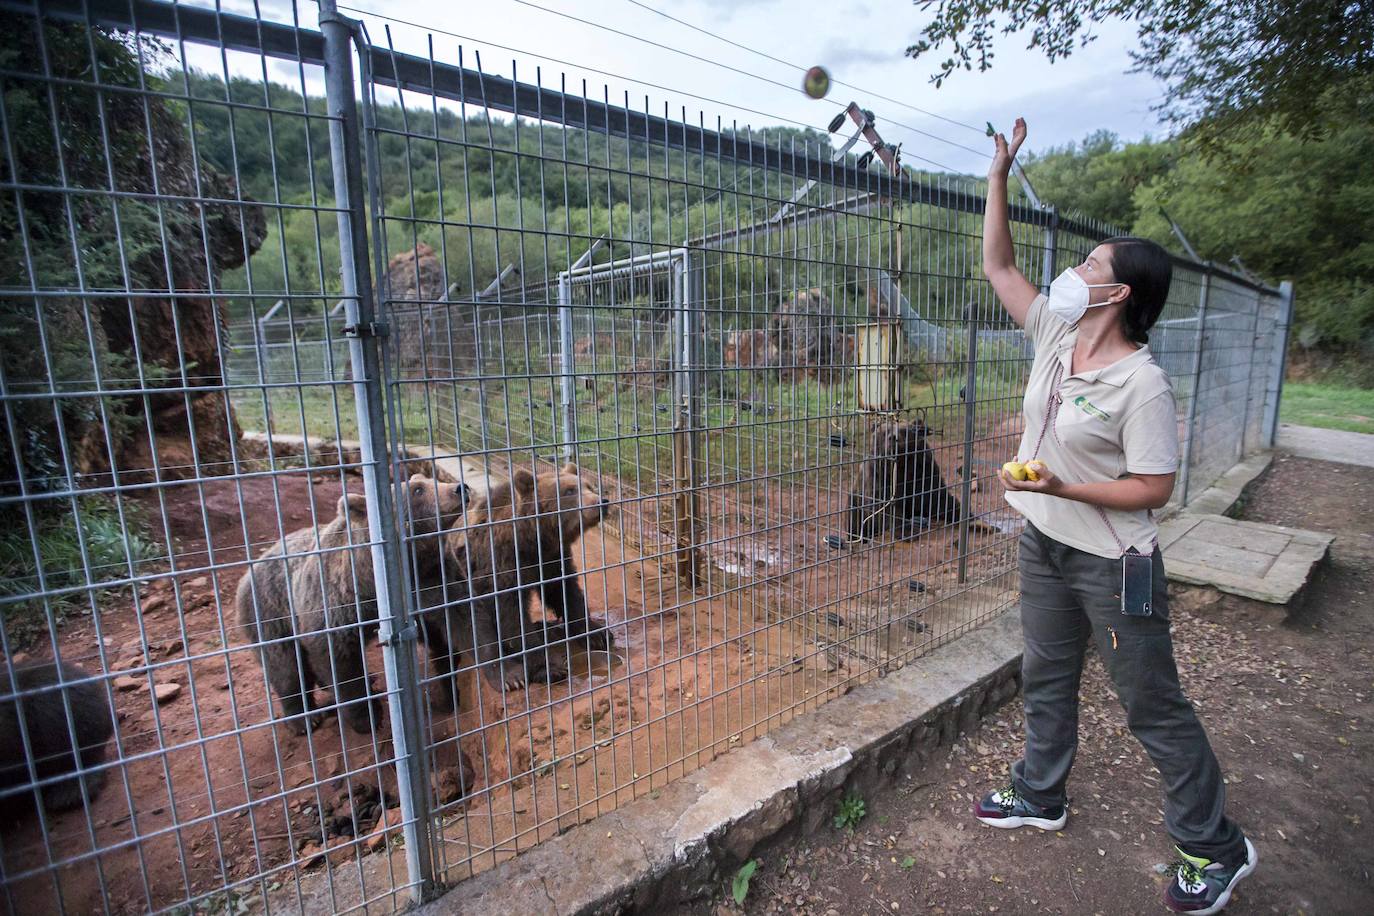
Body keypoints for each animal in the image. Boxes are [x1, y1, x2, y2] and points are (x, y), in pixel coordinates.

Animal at [233, 477, 469, 736]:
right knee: (285, 666)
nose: (460, 488)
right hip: (270, 611)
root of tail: (250, 570)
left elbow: (450, 631)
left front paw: (451, 693)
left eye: (425, 480)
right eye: (418, 490)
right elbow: (340, 662)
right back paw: (304, 719)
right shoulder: (335, 603)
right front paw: (368, 718)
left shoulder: (433, 583)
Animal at [431, 461, 615, 692]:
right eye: (569, 491)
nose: (602, 502)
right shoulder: (502, 565)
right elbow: (512, 615)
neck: (532, 540)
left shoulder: (552, 558)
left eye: (589, 486)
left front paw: (597, 633)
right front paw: (548, 668)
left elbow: (566, 591)